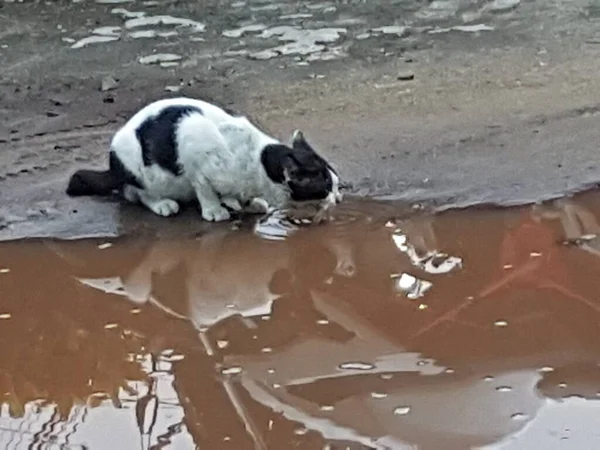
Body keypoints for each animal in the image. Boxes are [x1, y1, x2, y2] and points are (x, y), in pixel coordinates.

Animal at [65, 97, 342, 221]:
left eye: (337, 184)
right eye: (327, 186)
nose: (339, 197)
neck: (256, 164)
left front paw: (247, 203)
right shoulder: (193, 143)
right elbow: (204, 186)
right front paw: (214, 210)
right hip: (131, 159)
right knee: (135, 193)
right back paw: (163, 203)